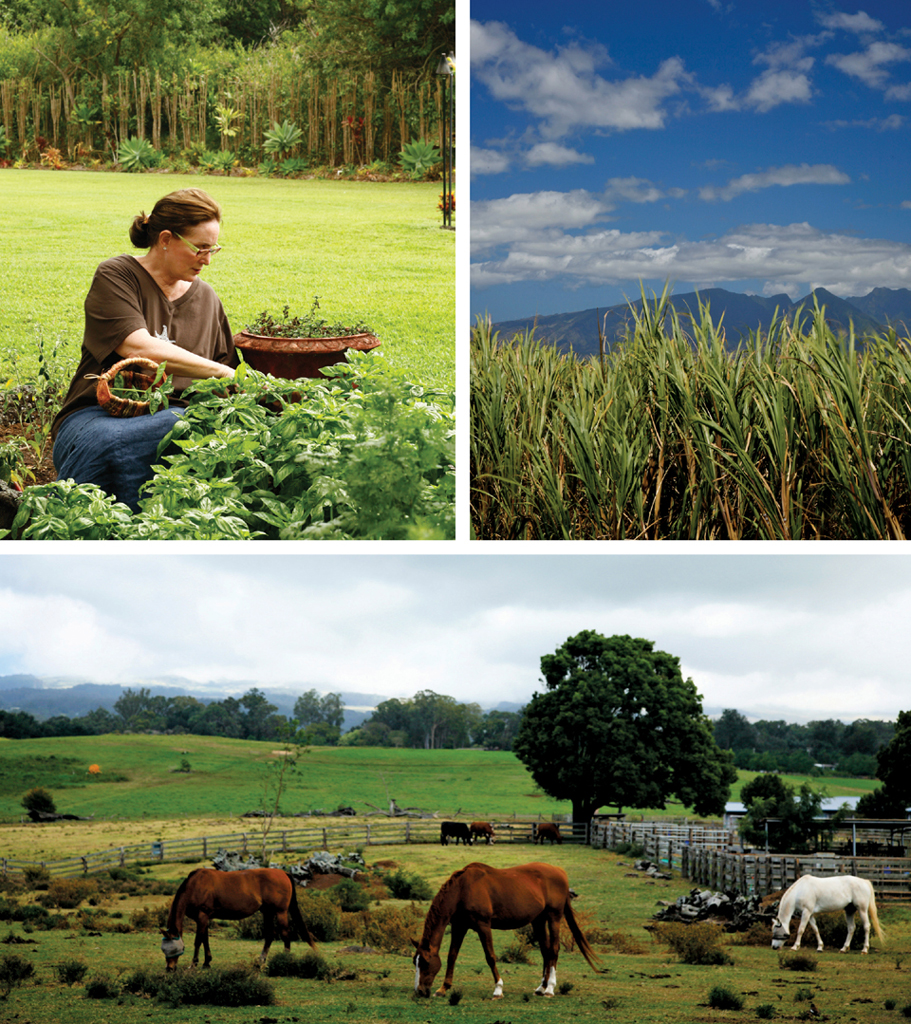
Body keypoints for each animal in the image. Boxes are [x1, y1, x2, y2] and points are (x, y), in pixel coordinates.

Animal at [161, 864, 317, 966]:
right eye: (164, 949)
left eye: (174, 948)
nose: (170, 968)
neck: (195, 885)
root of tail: (283, 873)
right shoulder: (203, 919)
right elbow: (205, 939)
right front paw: (207, 962)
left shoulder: (202, 916)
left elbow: (198, 940)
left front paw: (194, 964)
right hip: (267, 912)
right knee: (269, 935)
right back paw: (261, 961)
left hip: (280, 912)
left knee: (285, 934)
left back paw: (285, 960)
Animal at [409, 860, 597, 995]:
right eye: (415, 962)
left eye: (425, 962)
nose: (419, 991)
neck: (463, 889)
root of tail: (560, 871)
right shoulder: (459, 926)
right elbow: (452, 956)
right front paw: (443, 988)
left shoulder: (483, 925)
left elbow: (490, 956)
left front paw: (498, 989)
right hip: (538, 920)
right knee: (545, 951)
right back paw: (541, 987)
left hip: (554, 918)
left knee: (554, 950)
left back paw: (550, 988)